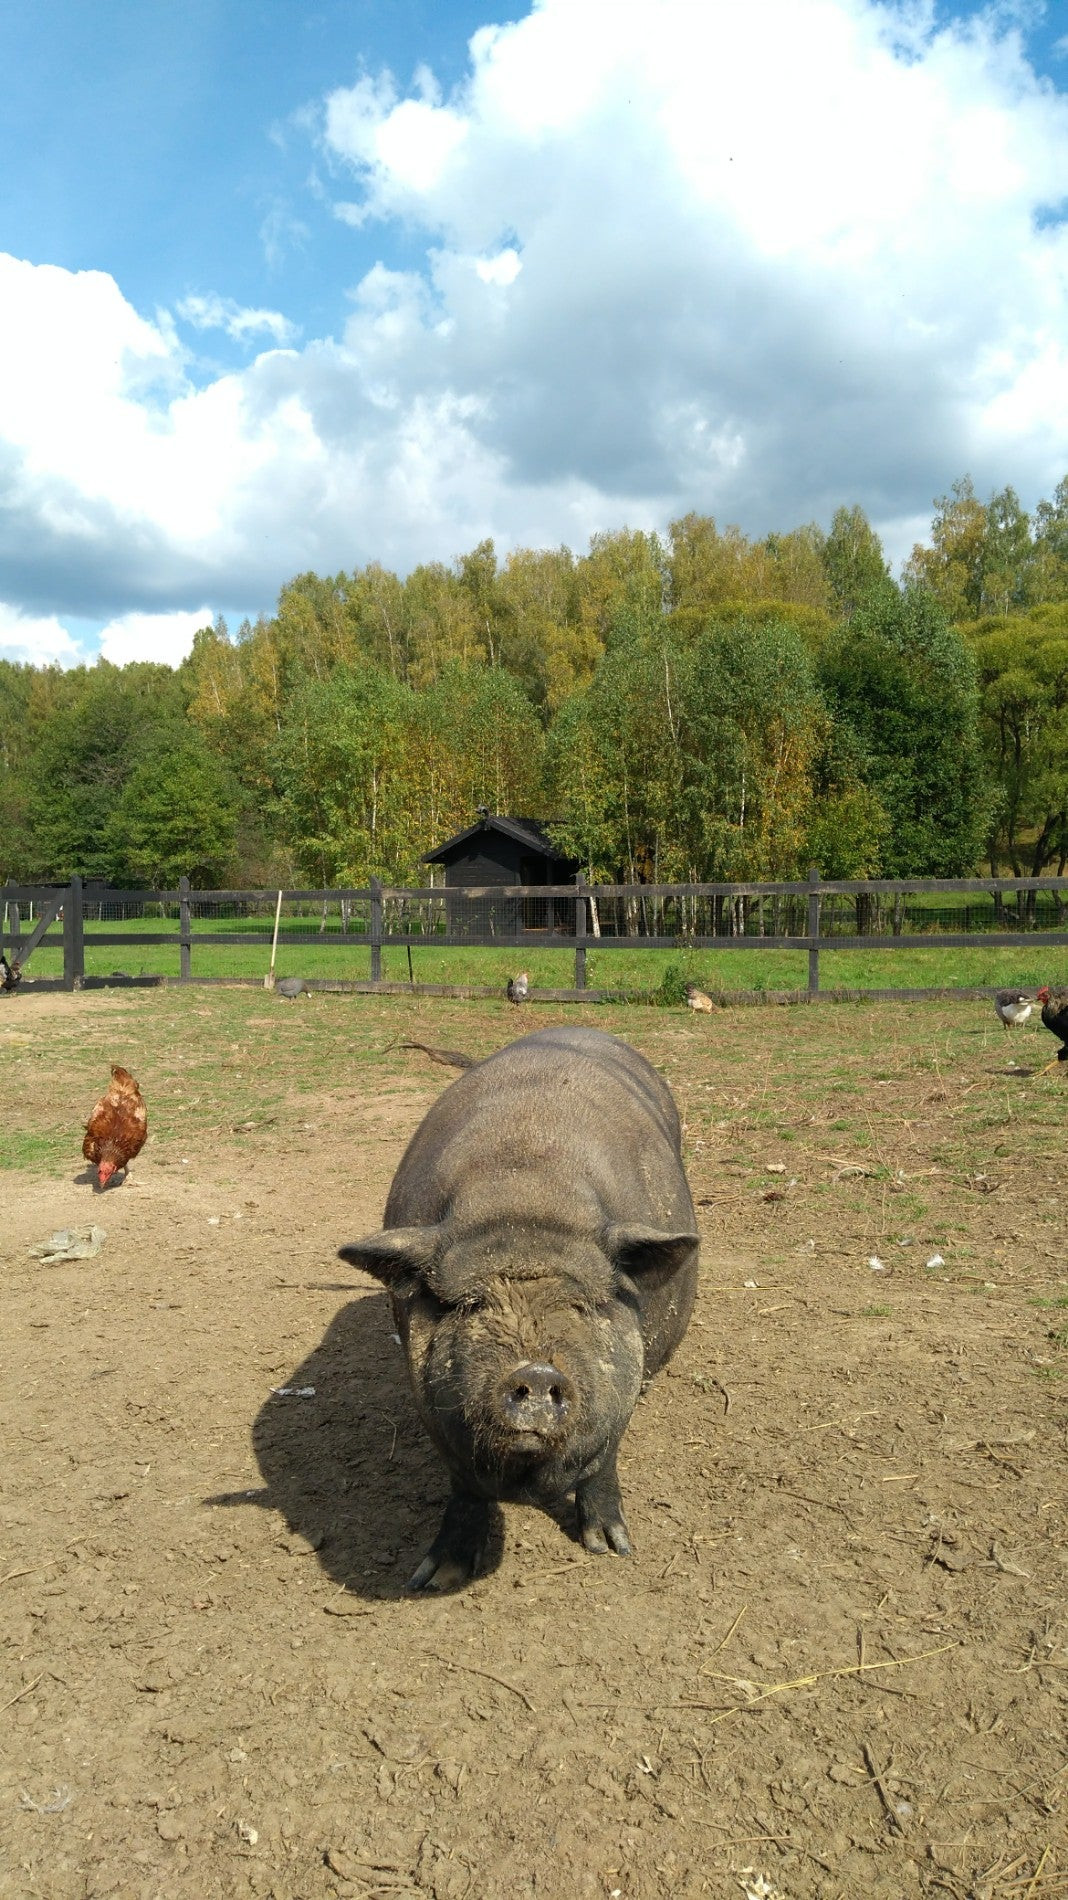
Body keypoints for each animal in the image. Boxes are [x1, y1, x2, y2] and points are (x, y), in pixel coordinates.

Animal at [336, 1026, 695, 1588]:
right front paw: (435, 1578)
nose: (536, 1370)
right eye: (471, 1304)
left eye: (582, 1305)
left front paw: (612, 1549)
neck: (526, 1203)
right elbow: (464, 1487)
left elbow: (604, 1459)